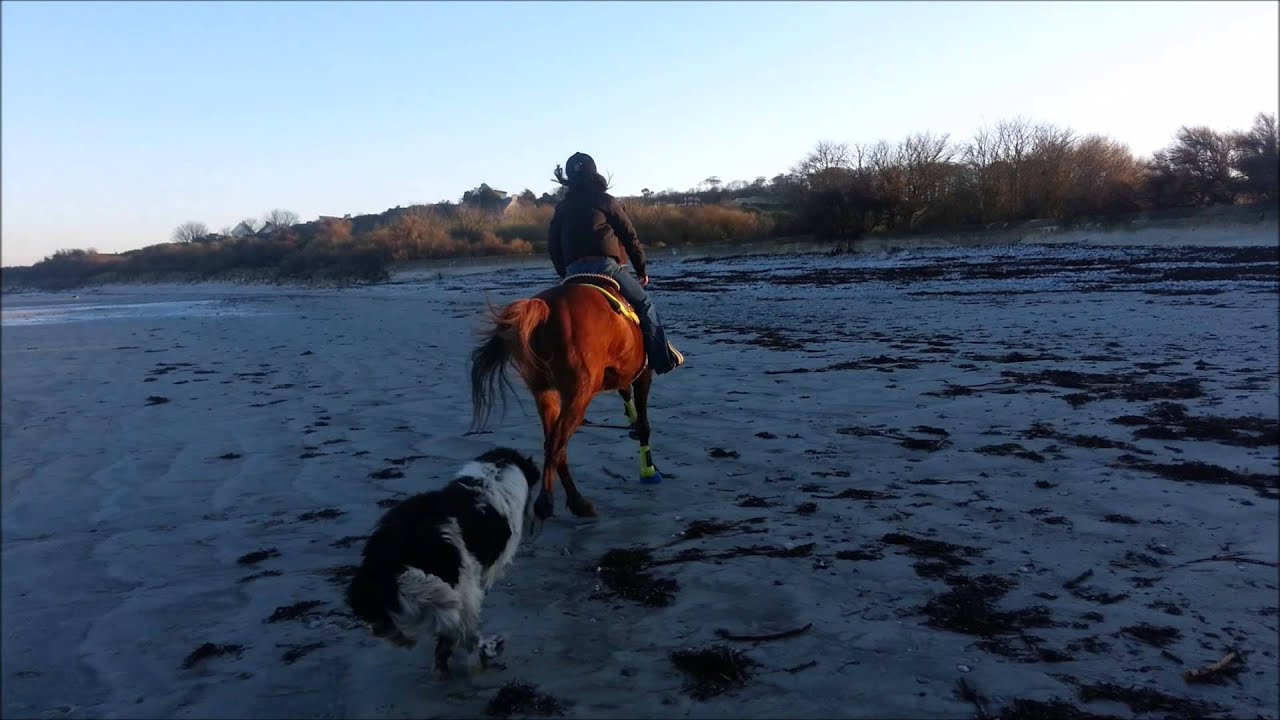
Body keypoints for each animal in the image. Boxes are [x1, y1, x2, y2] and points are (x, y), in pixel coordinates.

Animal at [469, 275, 663, 521]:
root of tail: (544, 310)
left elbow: (628, 399)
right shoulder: (643, 374)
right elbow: (644, 423)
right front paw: (649, 470)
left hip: (545, 393)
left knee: (554, 444)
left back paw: (577, 502)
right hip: (578, 395)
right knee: (556, 442)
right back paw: (546, 502)